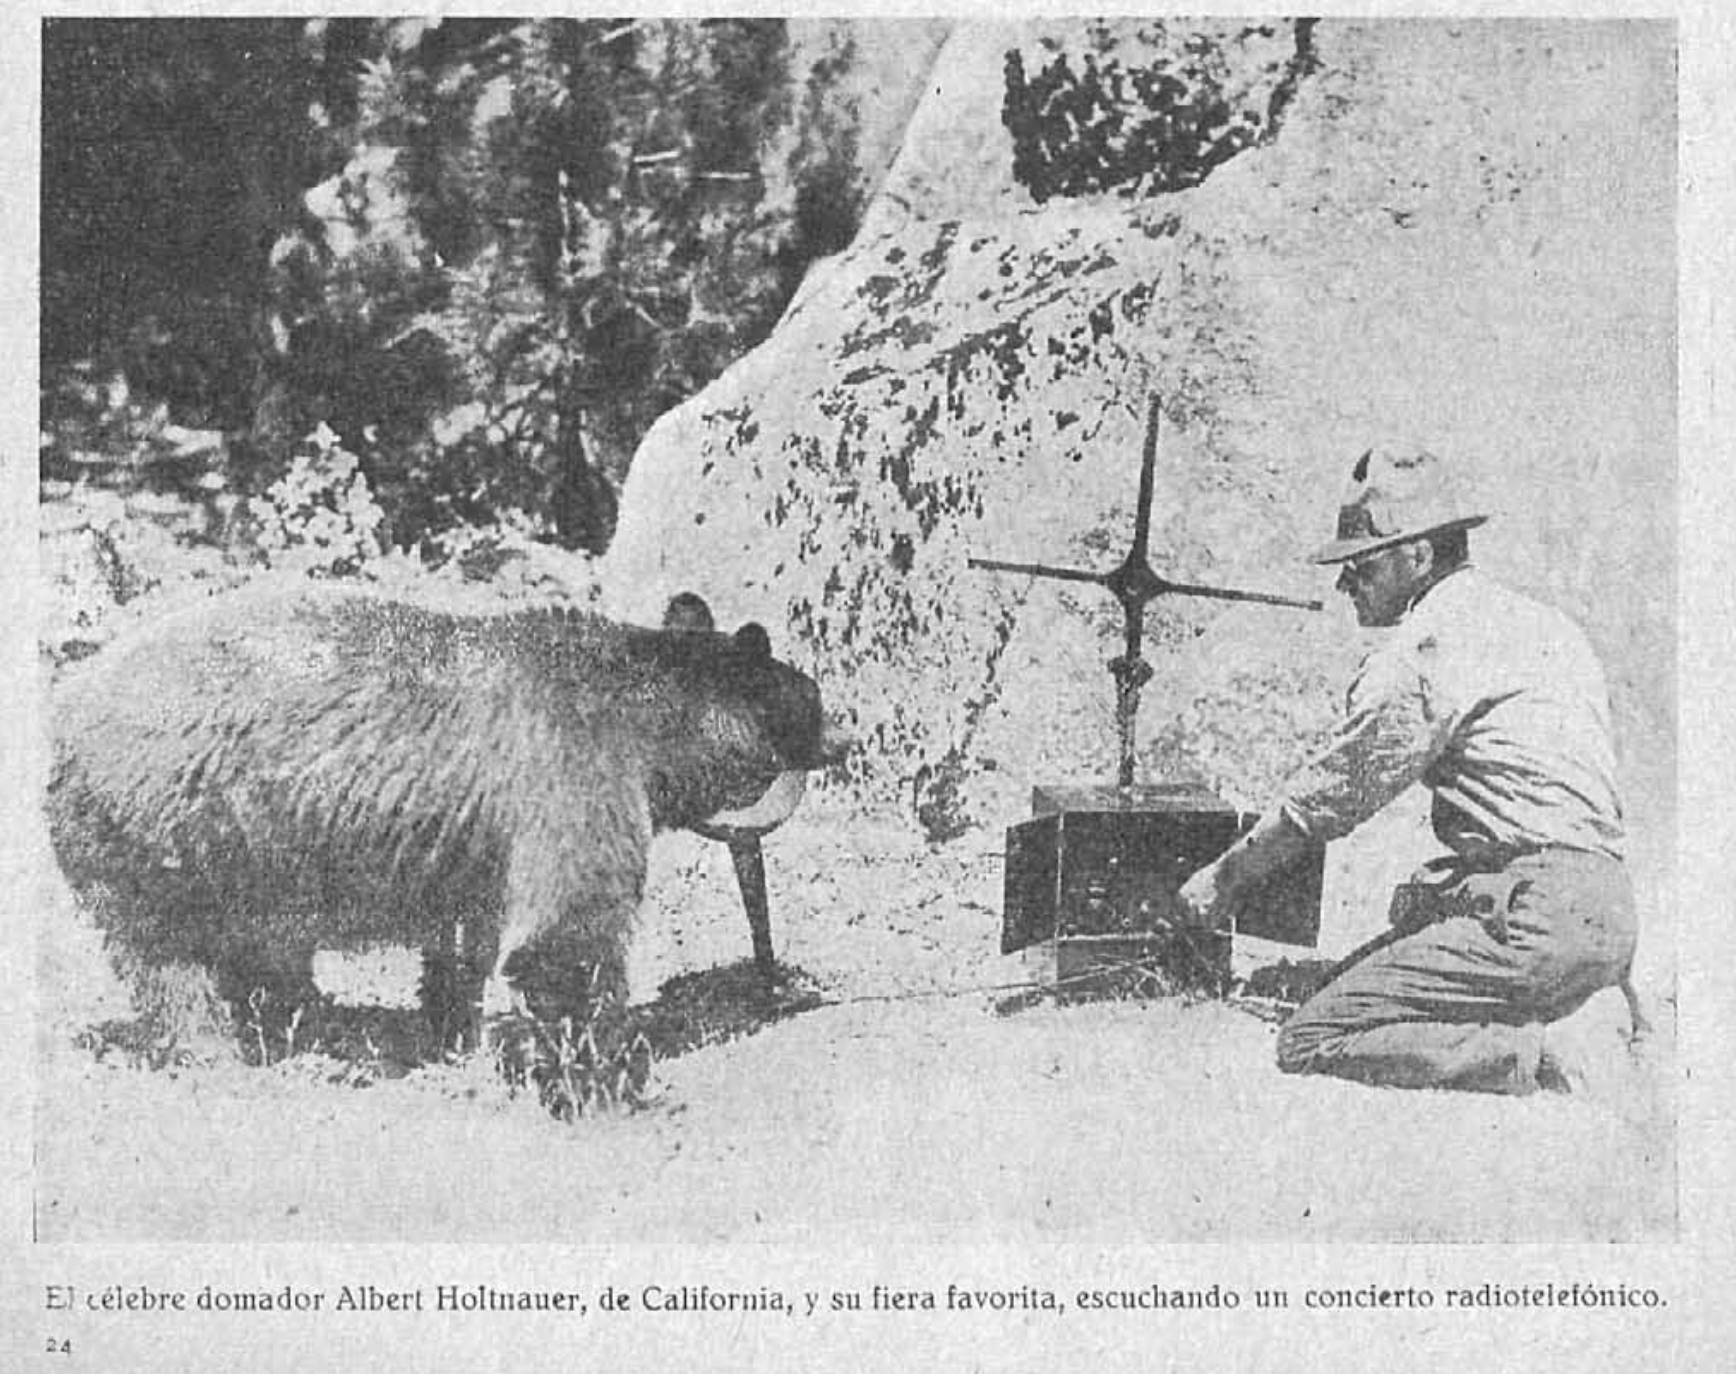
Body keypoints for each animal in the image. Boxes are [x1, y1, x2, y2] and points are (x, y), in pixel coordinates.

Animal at [45, 580, 848, 1063]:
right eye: (812, 697)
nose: (844, 737)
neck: (647, 721)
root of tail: (70, 699)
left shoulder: (474, 841)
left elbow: (465, 937)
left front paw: (454, 1029)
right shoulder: (570, 773)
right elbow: (571, 920)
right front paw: (595, 1047)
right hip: (165, 829)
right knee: (168, 959)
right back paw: (219, 1048)